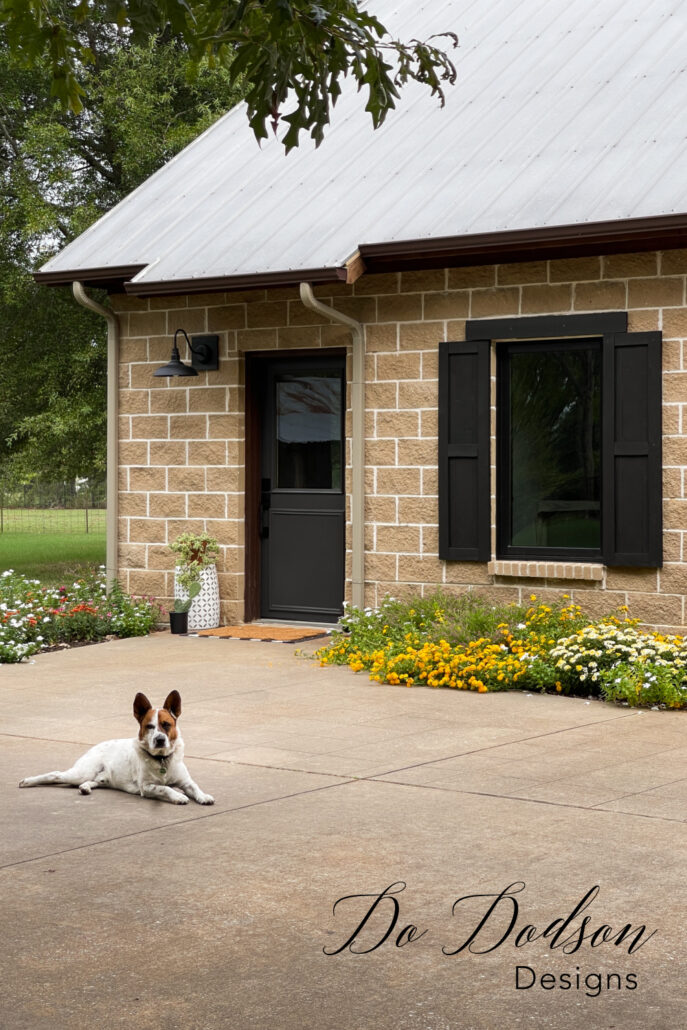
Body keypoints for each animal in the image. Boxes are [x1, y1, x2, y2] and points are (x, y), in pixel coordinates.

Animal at [18, 692, 213, 803]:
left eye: (166, 725)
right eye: (150, 726)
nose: (159, 740)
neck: (161, 759)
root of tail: (96, 746)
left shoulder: (185, 781)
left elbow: (194, 786)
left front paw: (203, 796)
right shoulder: (146, 787)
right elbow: (165, 788)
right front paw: (178, 796)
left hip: (100, 778)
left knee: (91, 781)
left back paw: (85, 788)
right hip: (81, 772)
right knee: (55, 775)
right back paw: (28, 781)